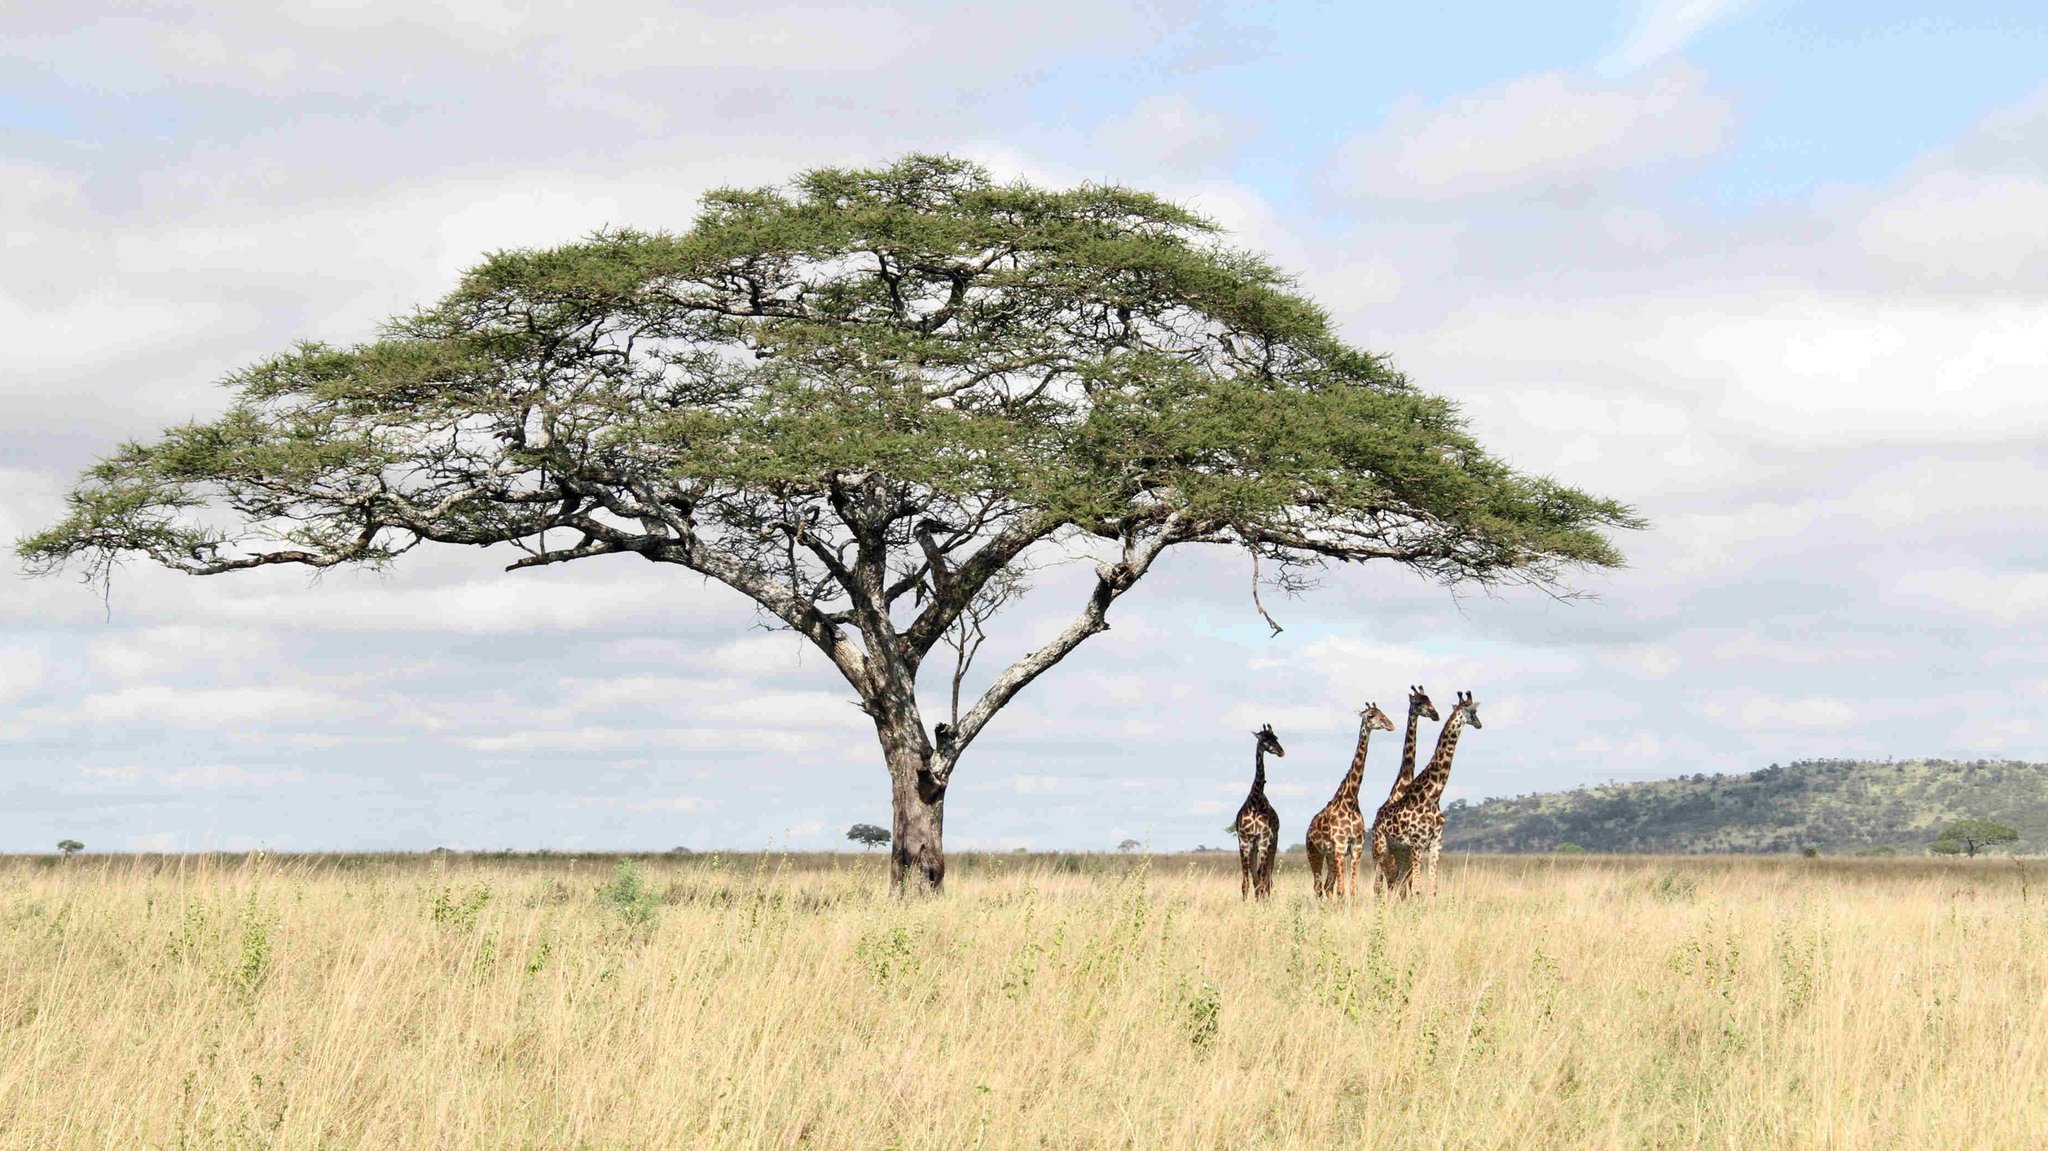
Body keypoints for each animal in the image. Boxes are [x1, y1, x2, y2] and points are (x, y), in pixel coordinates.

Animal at [1220, 725, 1286, 897]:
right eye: (1264, 739)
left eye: (1276, 738)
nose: (1281, 751)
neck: (1255, 802)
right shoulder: (1244, 841)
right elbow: (1246, 882)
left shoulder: (1264, 840)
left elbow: (1262, 879)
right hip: (1254, 848)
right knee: (1258, 878)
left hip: (1272, 844)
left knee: (1267, 879)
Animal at [1310, 704, 1392, 901]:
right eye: (1370, 716)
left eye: (1383, 713)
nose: (1390, 725)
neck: (1350, 800)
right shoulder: (1340, 846)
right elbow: (1342, 891)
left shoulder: (1356, 847)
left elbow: (1353, 890)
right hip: (1315, 853)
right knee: (1318, 888)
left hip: (1330, 856)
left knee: (1327, 886)